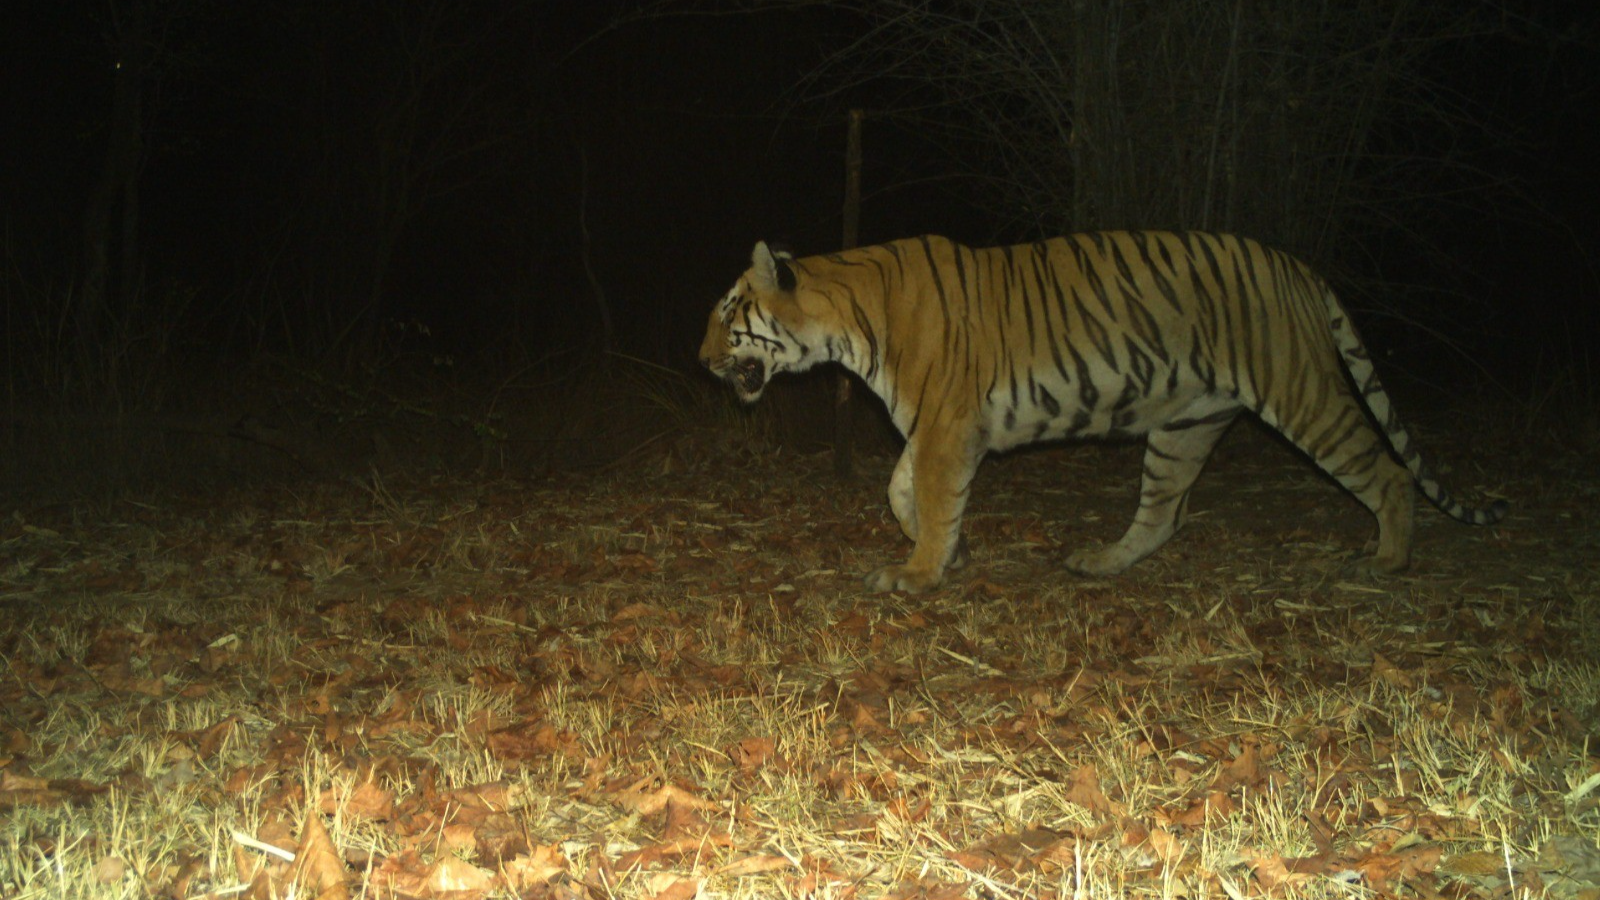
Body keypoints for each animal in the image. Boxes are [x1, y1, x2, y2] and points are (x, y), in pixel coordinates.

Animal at [694, 230, 1504, 589]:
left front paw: (920, 572)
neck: (845, 318)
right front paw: (947, 549)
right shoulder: (932, 427)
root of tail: (1299, 267)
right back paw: (1101, 562)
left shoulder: (947, 427)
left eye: (729, 313)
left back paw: (1390, 558)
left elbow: (929, 493)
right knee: (1162, 514)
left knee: (1386, 472)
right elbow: (900, 490)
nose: (699, 361)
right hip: (1186, 424)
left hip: (1301, 393)